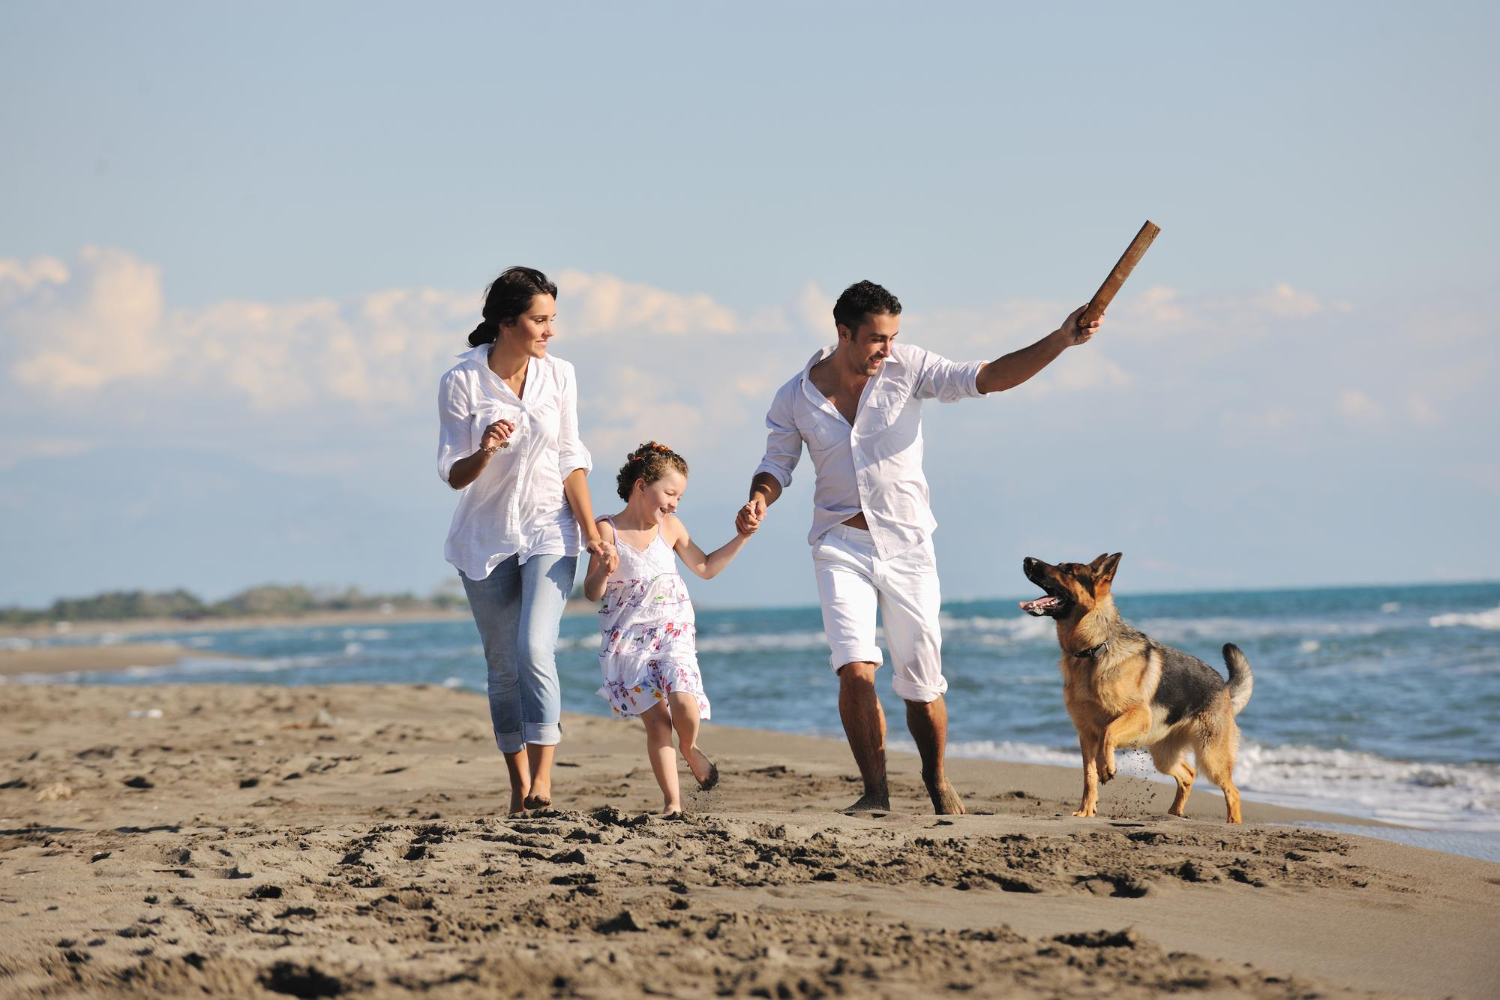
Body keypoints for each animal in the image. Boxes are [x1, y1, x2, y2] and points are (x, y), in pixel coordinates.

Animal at [1020, 551, 1254, 827]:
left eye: (1067, 570)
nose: (1027, 560)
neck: (1093, 649)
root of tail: (1223, 687)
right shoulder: (1086, 734)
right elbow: (1088, 776)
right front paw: (1087, 810)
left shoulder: (1136, 716)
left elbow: (1108, 733)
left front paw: (1107, 767)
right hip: (1164, 755)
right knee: (1188, 774)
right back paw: (1173, 814)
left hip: (1211, 756)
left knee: (1232, 790)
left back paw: (1233, 823)